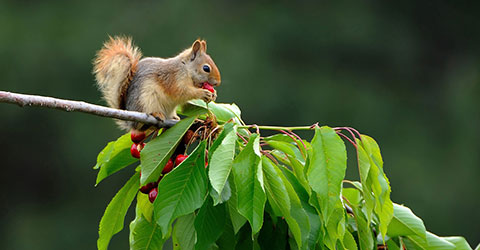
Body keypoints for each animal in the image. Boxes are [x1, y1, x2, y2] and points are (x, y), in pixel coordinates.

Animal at [92, 36, 221, 133]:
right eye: (206, 68)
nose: (217, 82)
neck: (185, 68)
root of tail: (130, 122)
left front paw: (213, 94)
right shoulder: (174, 79)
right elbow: (182, 92)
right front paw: (203, 93)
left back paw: (174, 117)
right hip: (145, 100)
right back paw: (156, 114)